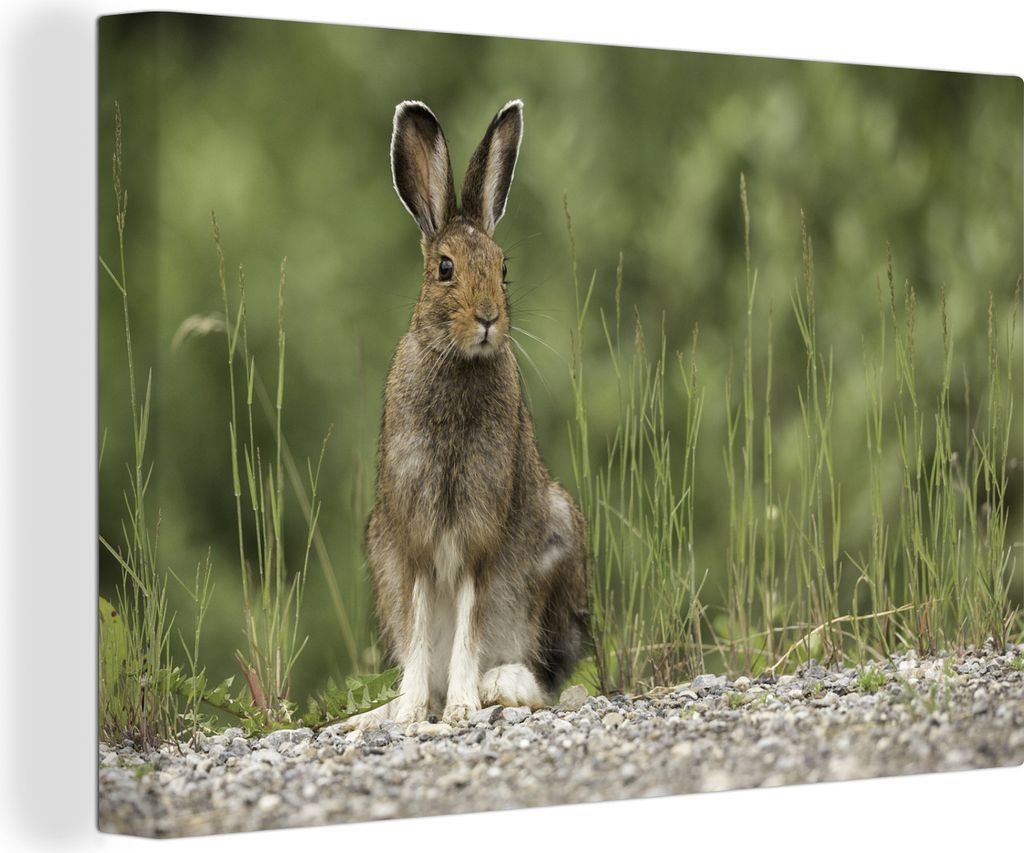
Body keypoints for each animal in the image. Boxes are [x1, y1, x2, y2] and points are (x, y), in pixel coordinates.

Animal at [347, 100, 590, 730]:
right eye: (445, 269)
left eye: (503, 268)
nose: (487, 318)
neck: (458, 363)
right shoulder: (411, 540)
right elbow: (419, 630)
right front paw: (411, 712)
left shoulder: (481, 537)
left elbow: (468, 625)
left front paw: (460, 707)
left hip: (557, 542)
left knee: (546, 676)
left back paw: (498, 685)